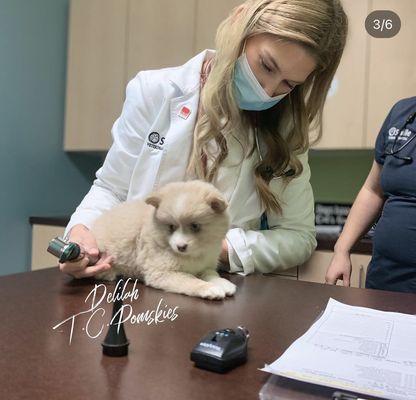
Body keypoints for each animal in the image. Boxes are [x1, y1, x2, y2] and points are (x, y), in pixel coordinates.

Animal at [90, 180, 237, 298]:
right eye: (171, 226)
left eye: (195, 226)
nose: (180, 246)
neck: (192, 255)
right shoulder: (161, 272)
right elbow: (189, 279)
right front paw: (209, 288)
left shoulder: (205, 265)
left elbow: (211, 274)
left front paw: (223, 283)